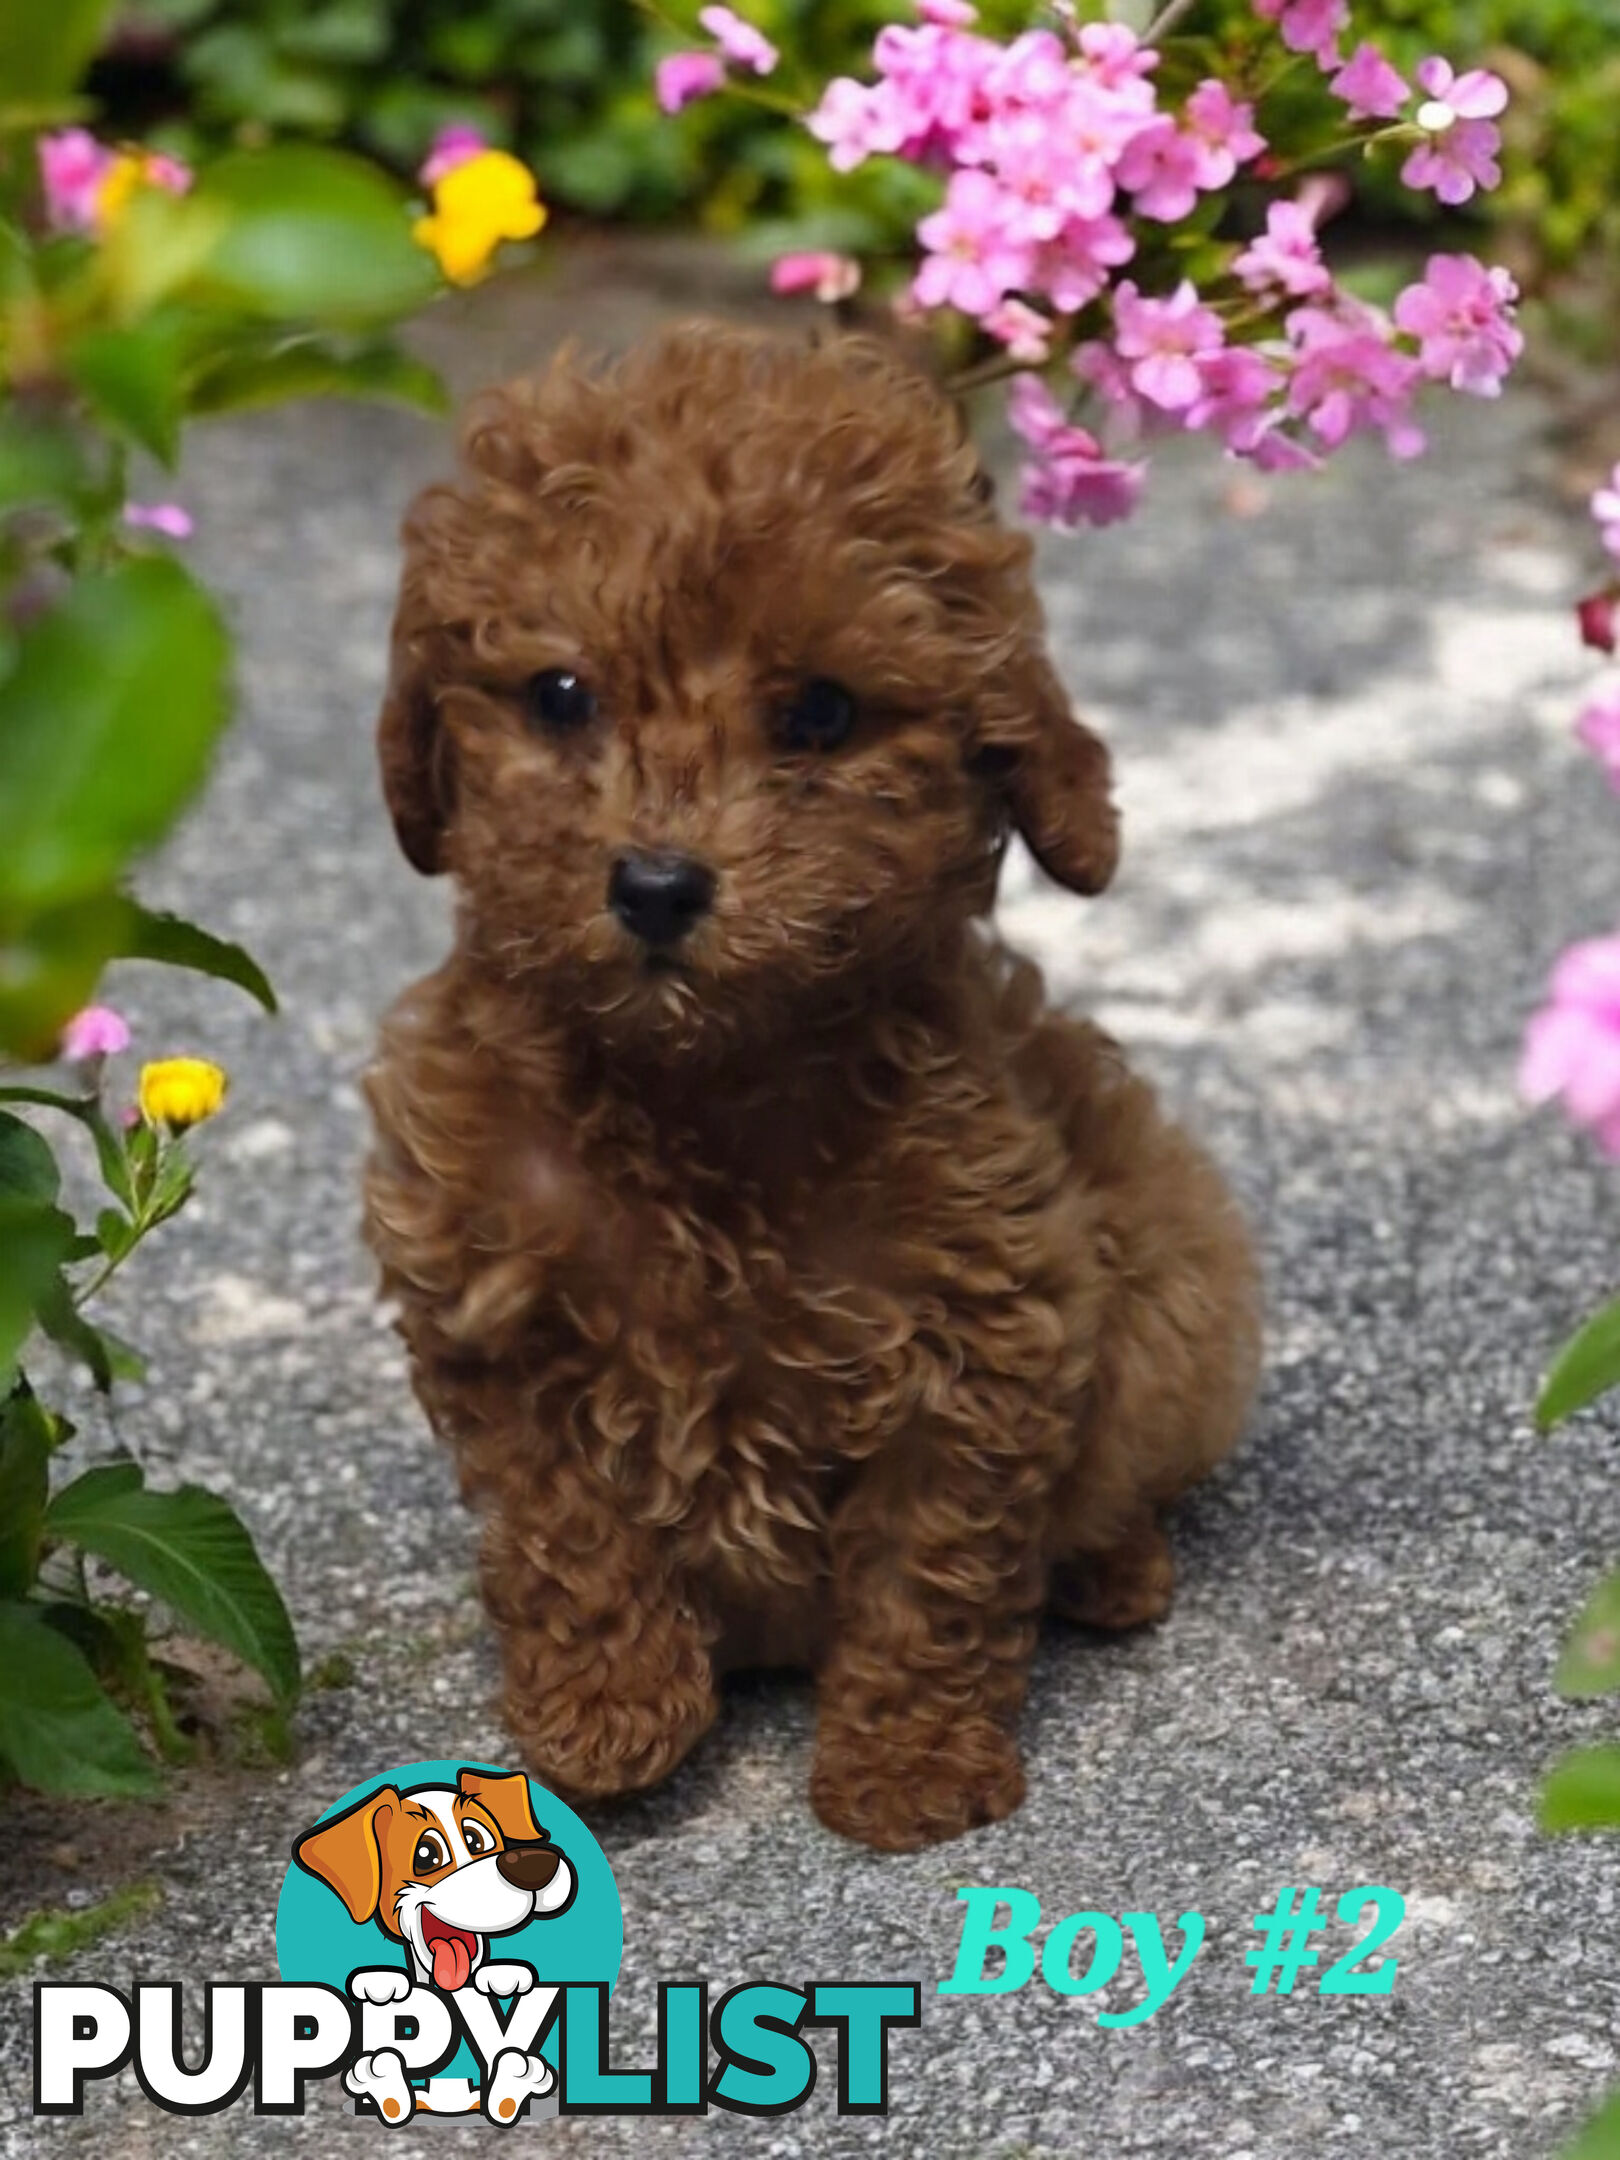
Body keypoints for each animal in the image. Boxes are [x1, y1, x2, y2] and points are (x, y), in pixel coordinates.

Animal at [360, 324, 1261, 1857]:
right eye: (560, 696)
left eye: (823, 715)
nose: (658, 884)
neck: (702, 1087)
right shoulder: (490, 1301)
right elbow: (569, 1528)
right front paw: (610, 1717)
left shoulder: (981, 1328)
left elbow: (931, 1566)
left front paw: (909, 1767)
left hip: (1177, 1265)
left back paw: (1111, 1568)